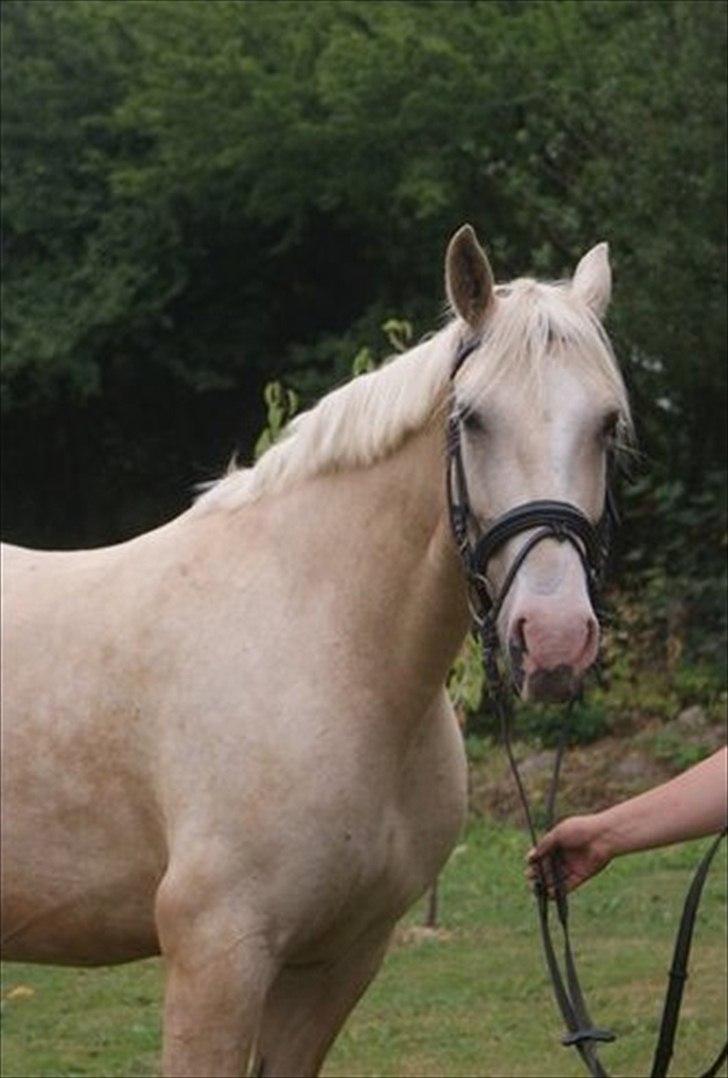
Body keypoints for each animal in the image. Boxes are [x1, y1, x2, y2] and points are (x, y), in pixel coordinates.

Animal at [1, 223, 634, 1073]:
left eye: (607, 423)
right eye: (472, 418)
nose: (555, 638)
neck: (326, 646)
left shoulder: (339, 960)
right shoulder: (217, 956)